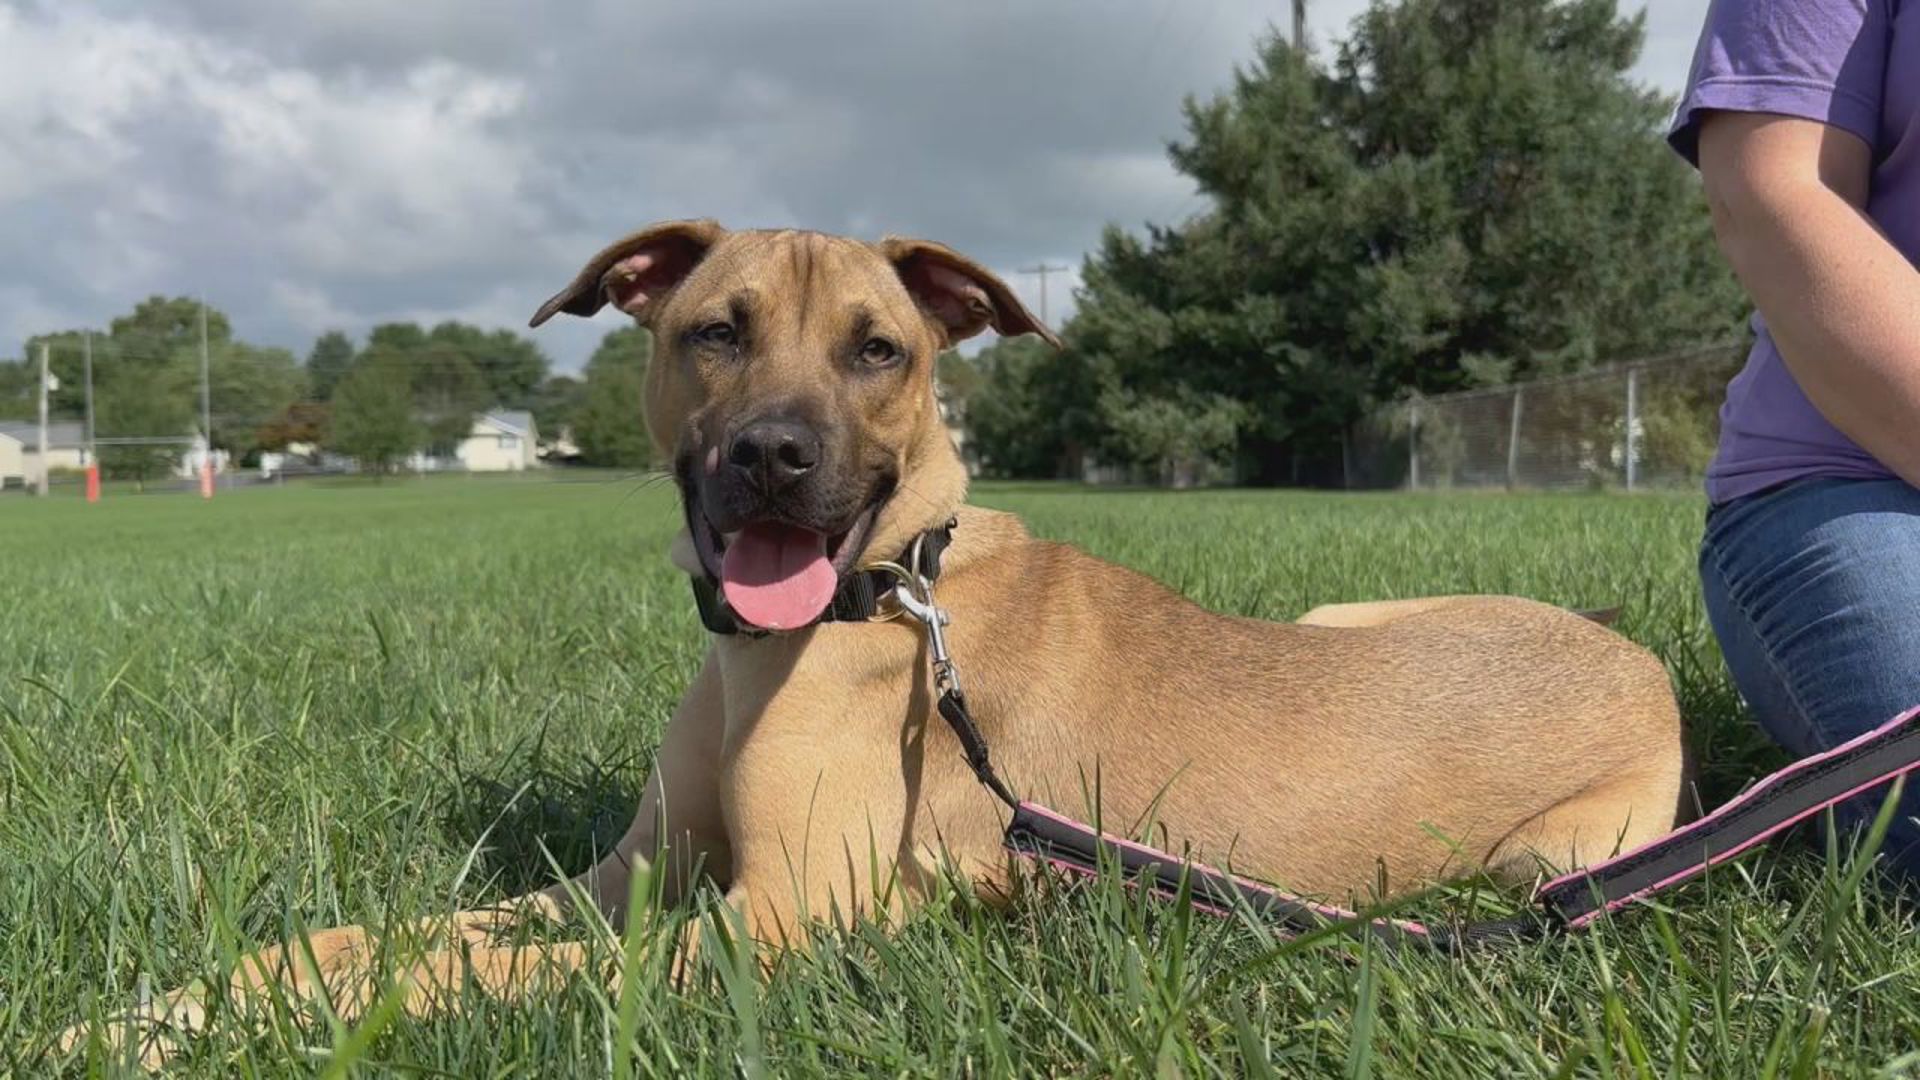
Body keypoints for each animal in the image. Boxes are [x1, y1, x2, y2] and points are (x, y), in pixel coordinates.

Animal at [63, 219, 1681, 1060]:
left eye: (879, 350)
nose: (775, 460)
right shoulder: (632, 878)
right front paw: (184, 1001)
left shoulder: (775, 917)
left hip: (1552, 861)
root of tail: (1645, 663)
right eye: (713, 330)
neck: (873, 603)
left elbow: (464, 978)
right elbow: (384, 939)